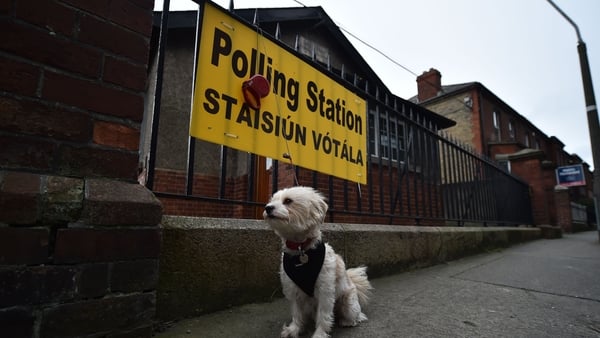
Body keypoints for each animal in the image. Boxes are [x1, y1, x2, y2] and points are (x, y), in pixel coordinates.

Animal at [262, 186, 370, 336]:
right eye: (272, 200)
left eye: (288, 201)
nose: (267, 207)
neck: (301, 249)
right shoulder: (293, 290)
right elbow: (296, 313)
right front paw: (294, 329)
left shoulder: (325, 291)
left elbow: (323, 316)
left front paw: (319, 334)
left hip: (348, 303)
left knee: (357, 316)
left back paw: (347, 321)